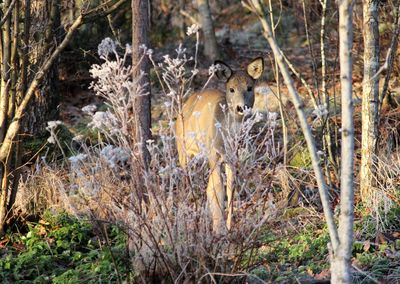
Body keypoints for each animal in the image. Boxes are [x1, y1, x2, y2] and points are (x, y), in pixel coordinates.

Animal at [176, 57, 264, 233]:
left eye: (249, 87)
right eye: (231, 89)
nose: (241, 107)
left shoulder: (233, 157)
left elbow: (231, 188)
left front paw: (229, 226)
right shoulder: (214, 154)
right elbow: (218, 188)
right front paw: (219, 229)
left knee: (208, 185)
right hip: (182, 150)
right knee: (188, 180)